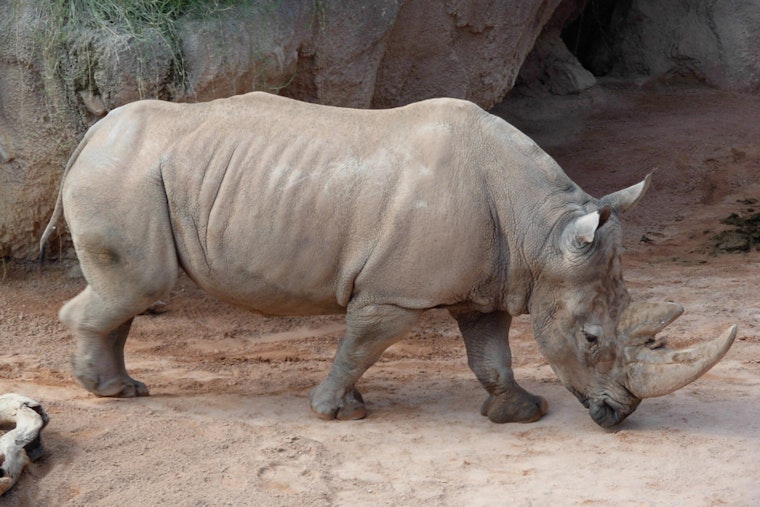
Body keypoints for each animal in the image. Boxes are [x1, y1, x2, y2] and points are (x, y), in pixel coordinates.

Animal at [40, 92, 736, 427]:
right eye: (591, 337)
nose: (620, 416)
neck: (541, 231)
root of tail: (90, 133)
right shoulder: (395, 294)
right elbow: (360, 346)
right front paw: (337, 413)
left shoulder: (491, 284)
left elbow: (491, 353)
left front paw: (519, 413)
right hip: (123, 174)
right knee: (137, 284)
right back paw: (110, 392)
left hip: (133, 173)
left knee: (129, 291)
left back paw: (124, 388)